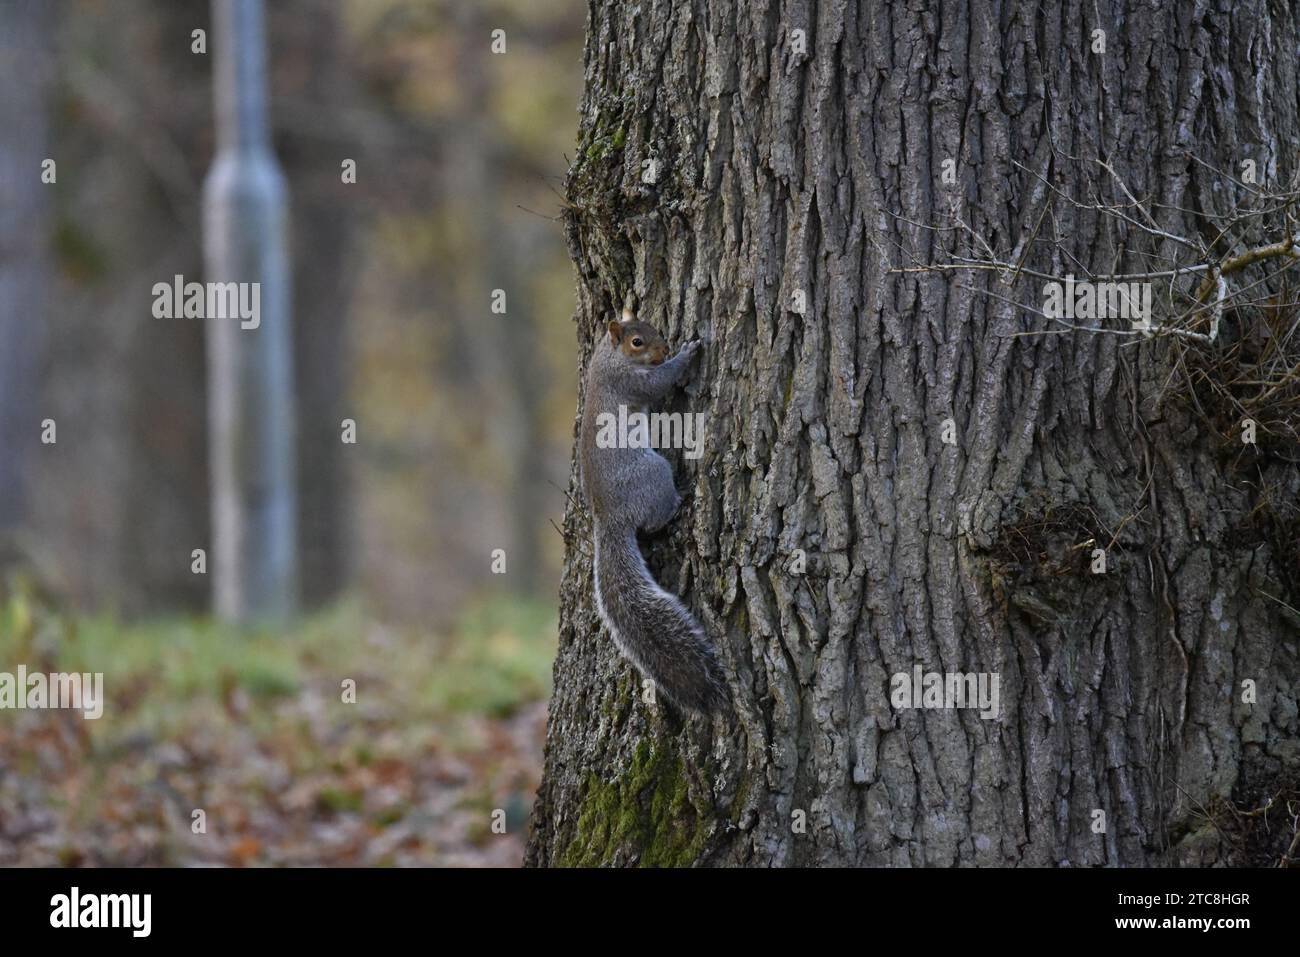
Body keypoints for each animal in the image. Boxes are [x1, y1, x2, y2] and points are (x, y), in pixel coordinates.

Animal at [579, 306, 733, 717]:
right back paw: (680, 500)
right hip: (655, 474)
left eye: (652, 327)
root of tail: (608, 518)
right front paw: (688, 353)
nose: (664, 347)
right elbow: (660, 383)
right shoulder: (630, 382)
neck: (608, 357)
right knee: (656, 518)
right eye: (637, 341)